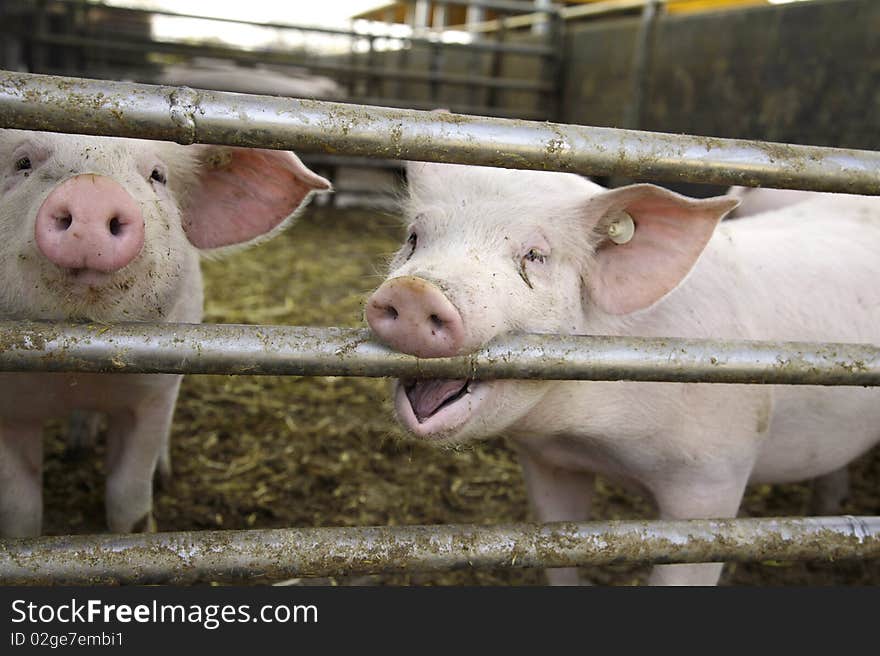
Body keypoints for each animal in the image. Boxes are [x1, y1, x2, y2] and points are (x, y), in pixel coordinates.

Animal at [0, 129, 330, 540]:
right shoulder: (9, 408)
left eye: (158, 175)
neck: (76, 377)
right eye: (22, 162)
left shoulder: (153, 392)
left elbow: (127, 500)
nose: (92, 190)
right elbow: (20, 514)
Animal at [364, 161, 880, 588]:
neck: (600, 439)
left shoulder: (713, 477)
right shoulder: (549, 462)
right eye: (414, 238)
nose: (414, 292)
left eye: (534, 255)